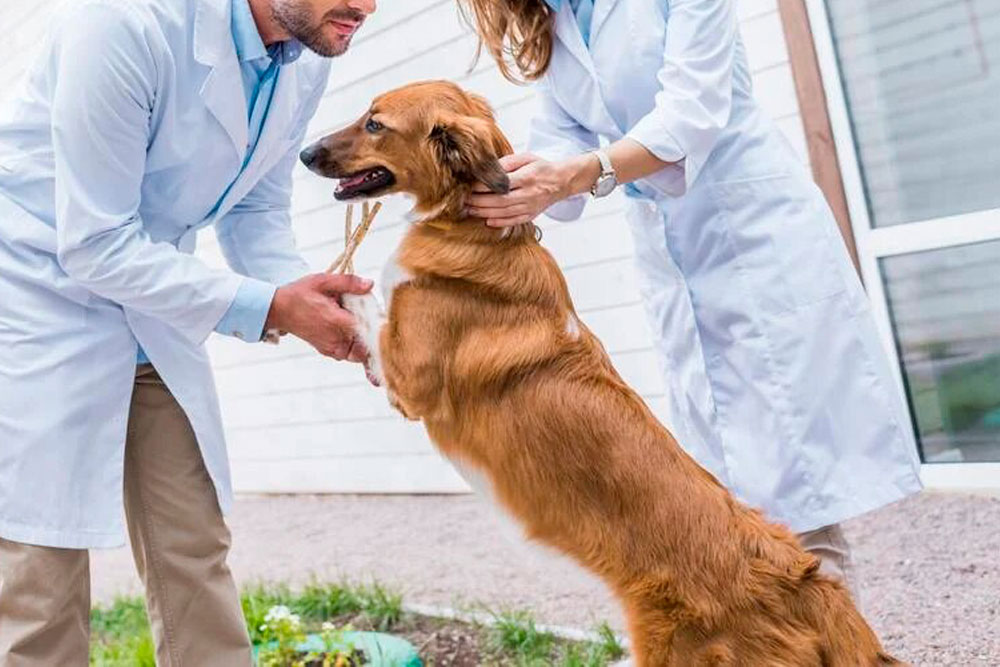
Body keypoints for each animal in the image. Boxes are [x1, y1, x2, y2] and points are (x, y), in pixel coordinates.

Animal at [300, 81, 904, 664]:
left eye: (375, 123)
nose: (304, 153)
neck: (472, 226)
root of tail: (803, 583)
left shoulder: (412, 382)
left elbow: (369, 303)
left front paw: (334, 291)